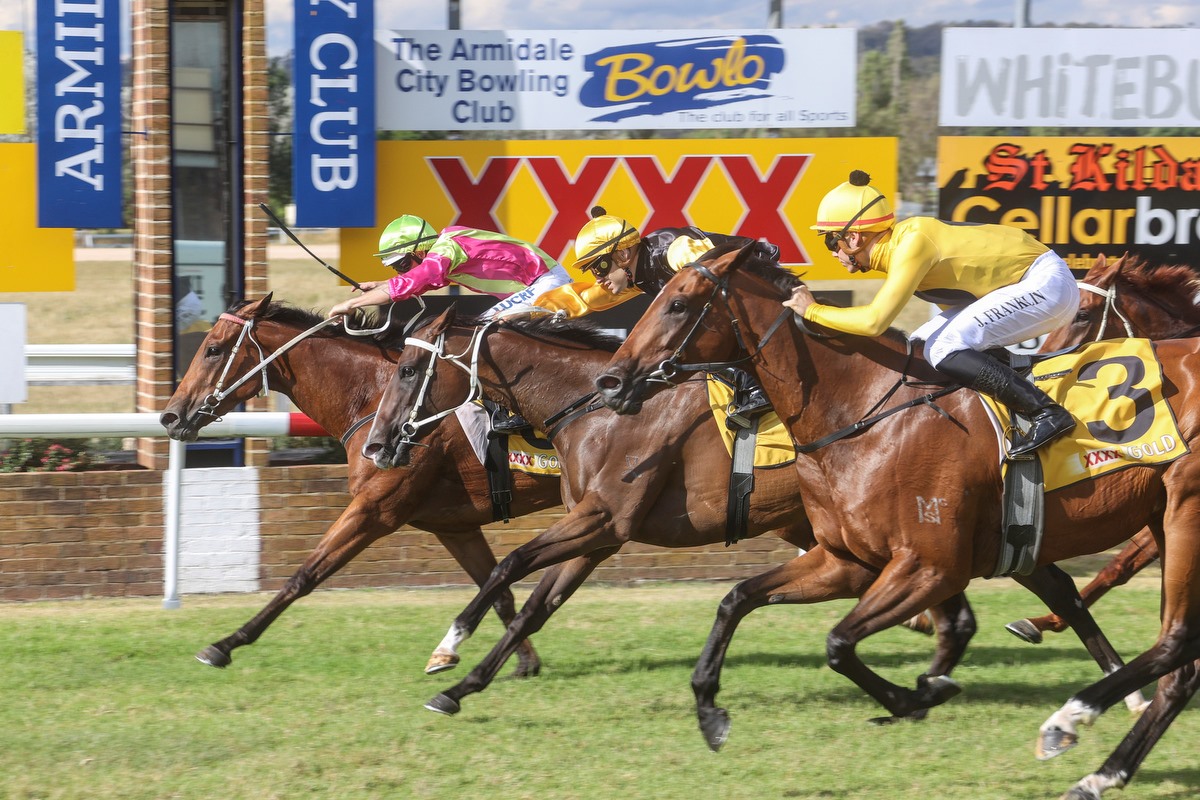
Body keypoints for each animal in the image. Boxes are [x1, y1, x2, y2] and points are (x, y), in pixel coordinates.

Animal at [158, 296, 561, 676]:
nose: (170, 416)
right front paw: (525, 662)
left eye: (212, 349)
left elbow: (304, 576)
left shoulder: (374, 509)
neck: (375, 397)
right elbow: (499, 593)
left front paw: (225, 644)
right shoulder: (455, 527)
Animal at [364, 304, 1132, 719]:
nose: (375, 445)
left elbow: (511, 565)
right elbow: (532, 605)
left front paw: (448, 650)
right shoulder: (599, 533)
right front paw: (464, 685)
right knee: (1002, 597)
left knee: (1043, 589)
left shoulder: (603, 521)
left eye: (409, 369)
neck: (597, 405)